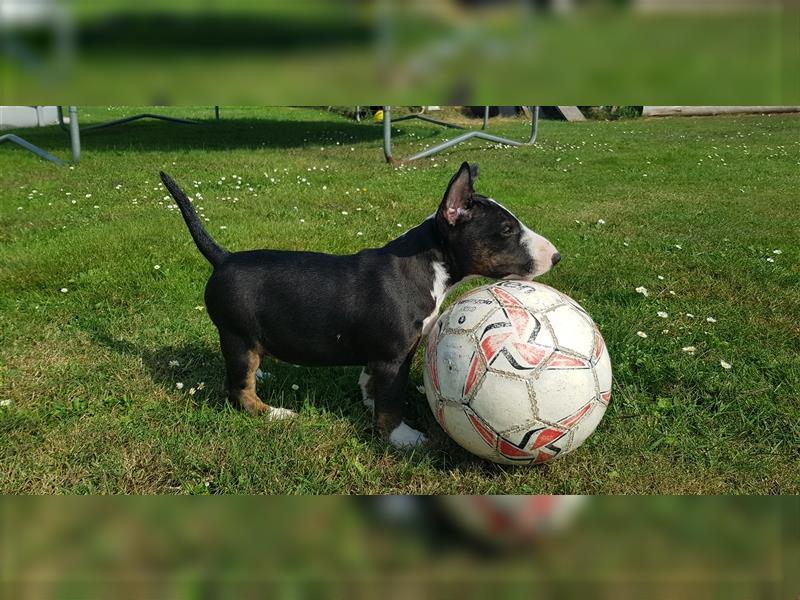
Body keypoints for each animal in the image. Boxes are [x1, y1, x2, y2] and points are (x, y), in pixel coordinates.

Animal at [159, 162, 560, 448]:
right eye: (507, 230)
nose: (556, 256)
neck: (427, 265)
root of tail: (223, 258)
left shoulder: (386, 355)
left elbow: (372, 382)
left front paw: (368, 402)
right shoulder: (393, 355)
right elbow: (392, 398)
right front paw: (401, 437)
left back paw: (263, 374)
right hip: (237, 334)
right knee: (238, 391)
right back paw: (274, 413)